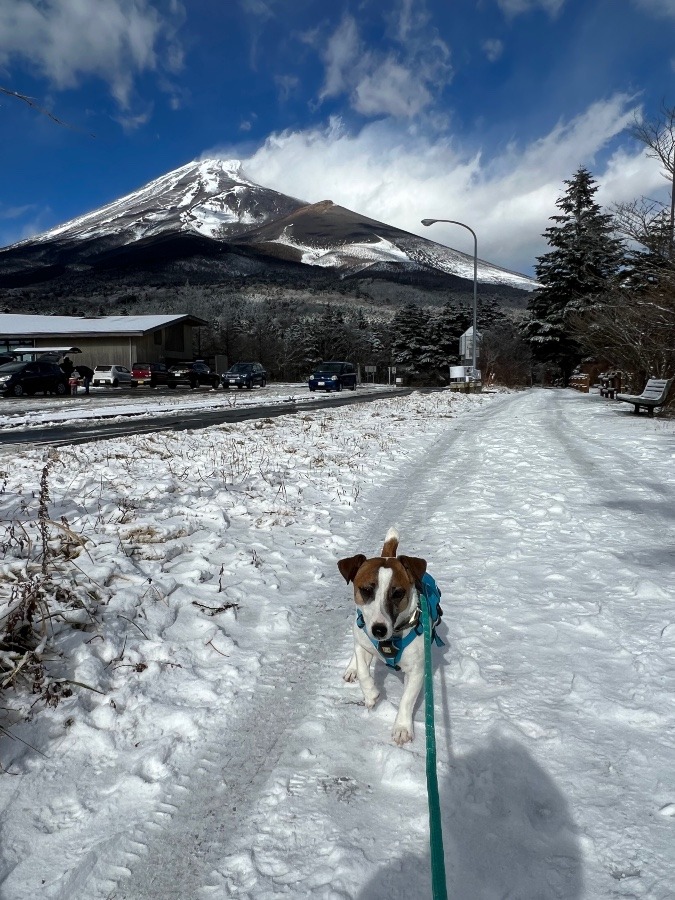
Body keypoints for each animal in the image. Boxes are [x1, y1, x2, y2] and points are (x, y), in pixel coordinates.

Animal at [338, 528, 444, 744]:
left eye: (398, 593)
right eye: (366, 590)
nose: (379, 630)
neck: (390, 639)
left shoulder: (417, 670)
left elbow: (407, 699)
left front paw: (402, 727)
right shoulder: (364, 643)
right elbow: (363, 670)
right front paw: (371, 694)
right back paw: (351, 668)